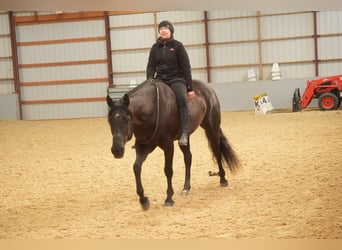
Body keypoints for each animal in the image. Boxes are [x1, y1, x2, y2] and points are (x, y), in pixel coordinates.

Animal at [107, 79, 240, 210]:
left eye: (127, 119)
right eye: (109, 120)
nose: (117, 150)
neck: (152, 108)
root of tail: (208, 88)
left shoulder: (168, 145)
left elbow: (168, 170)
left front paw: (169, 199)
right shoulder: (143, 146)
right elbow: (136, 168)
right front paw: (143, 200)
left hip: (211, 127)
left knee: (217, 151)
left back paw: (223, 179)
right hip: (186, 137)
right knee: (188, 158)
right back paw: (186, 188)